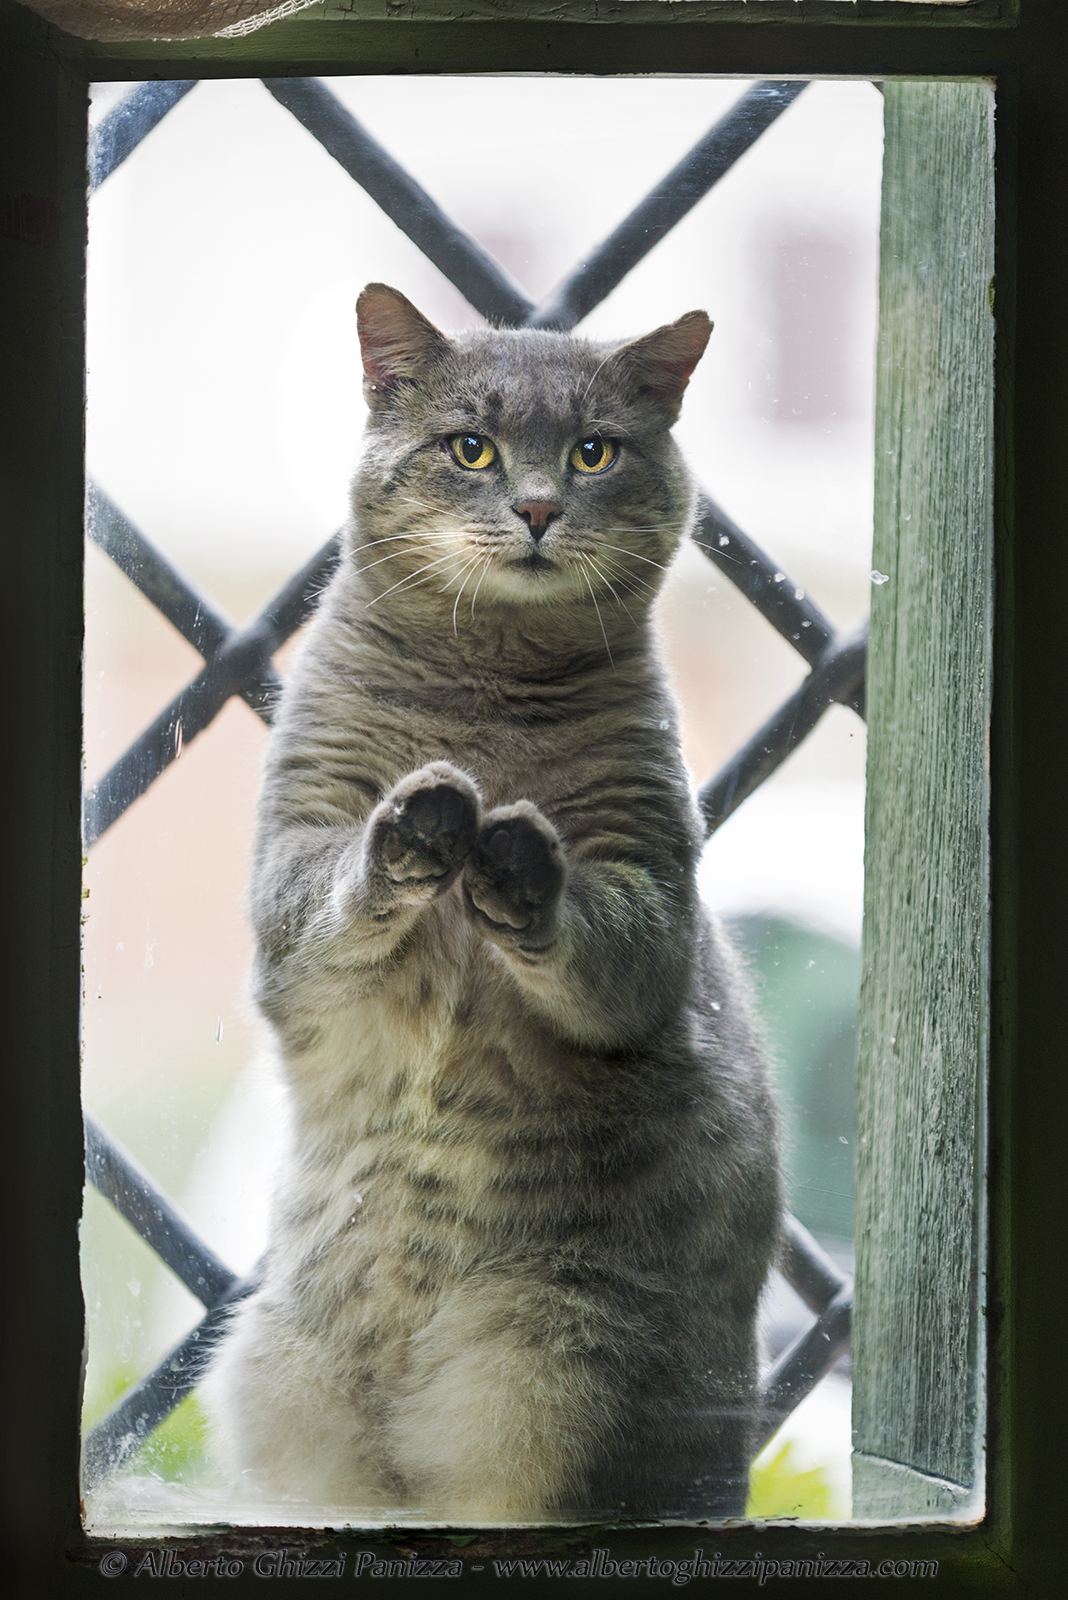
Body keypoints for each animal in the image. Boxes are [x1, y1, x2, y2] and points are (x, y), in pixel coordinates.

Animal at [204, 288, 780, 1523]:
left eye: (593, 451)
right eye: (470, 446)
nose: (537, 506)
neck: (488, 694)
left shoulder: (649, 905)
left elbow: (592, 936)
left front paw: (511, 859)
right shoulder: (292, 881)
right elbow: (344, 883)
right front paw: (423, 828)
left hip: (547, 1365)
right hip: (280, 1372)